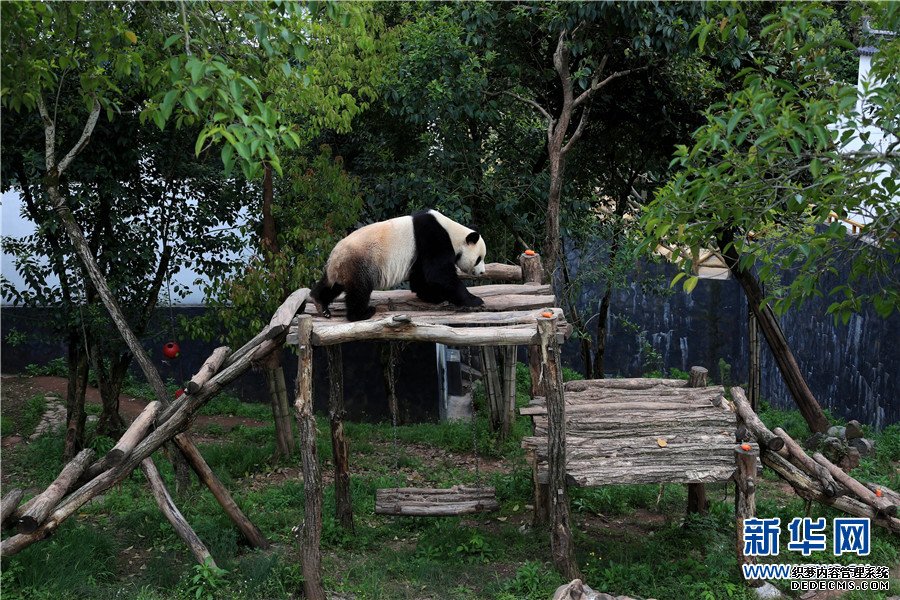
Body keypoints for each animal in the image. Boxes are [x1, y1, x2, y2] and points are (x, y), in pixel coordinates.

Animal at [312, 211, 488, 324]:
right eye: (479, 259)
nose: (482, 272)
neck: (452, 232)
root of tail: (335, 257)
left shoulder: (418, 252)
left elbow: (421, 277)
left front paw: (432, 296)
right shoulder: (433, 237)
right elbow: (439, 274)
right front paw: (474, 300)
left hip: (343, 268)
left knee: (333, 285)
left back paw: (321, 303)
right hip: (360, 263)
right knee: (359, 290)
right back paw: (362, 313)